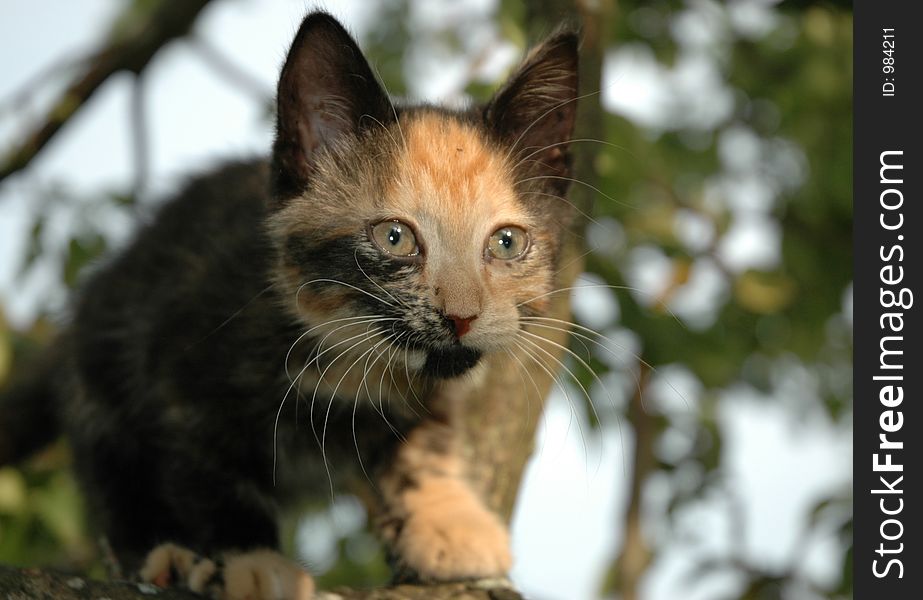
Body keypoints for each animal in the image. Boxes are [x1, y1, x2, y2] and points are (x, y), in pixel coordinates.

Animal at [0, 9, 576, 600]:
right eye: (394, 237)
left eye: (506, 243)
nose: (461, 317)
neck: (344, 346)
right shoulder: (180, 364)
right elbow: (211, 474)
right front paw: (253, 560)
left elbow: (423, 442)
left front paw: (449, 522)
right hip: (103, 359)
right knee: (113, 474)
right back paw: (163, 555)